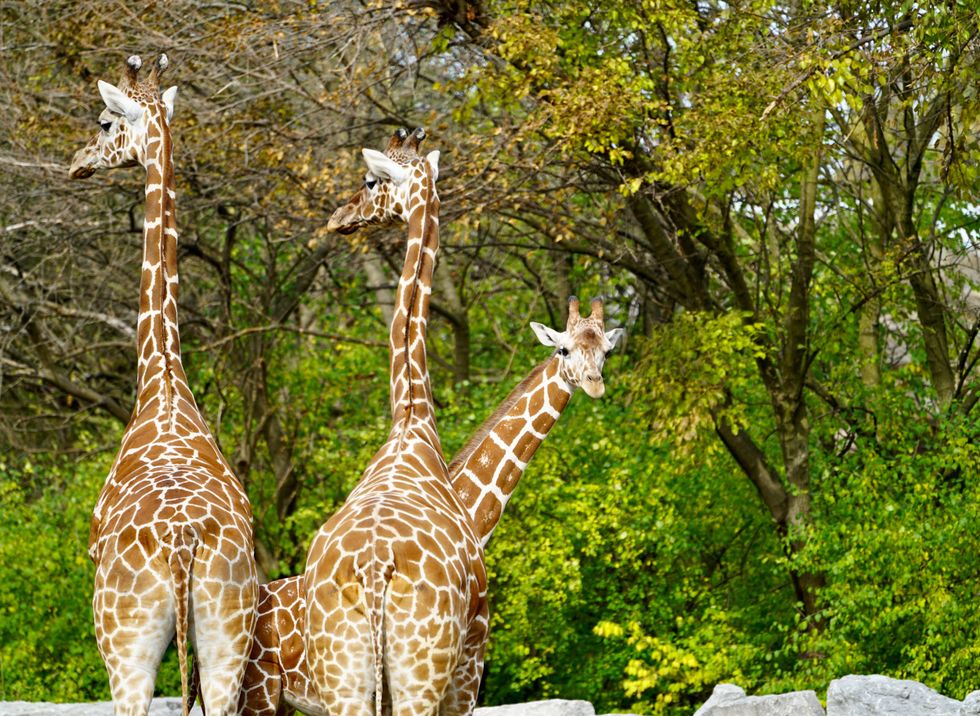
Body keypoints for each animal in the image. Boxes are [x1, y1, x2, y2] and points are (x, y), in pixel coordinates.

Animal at [68, 55, 257, 716]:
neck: (163, 375)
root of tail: (181, 544)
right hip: (228, 634)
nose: (76, 162)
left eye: (104, 122)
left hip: (124, 645)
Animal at [303, 127, 488, 716]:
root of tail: (373, 570)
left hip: (341, 674)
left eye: (369, 181)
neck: (412, 421)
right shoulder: (474, 653)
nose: (340, 216)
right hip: (422, 672)